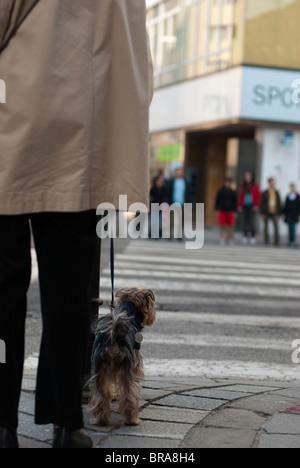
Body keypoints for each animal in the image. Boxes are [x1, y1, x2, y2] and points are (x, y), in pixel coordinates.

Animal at [88, 288, 156, 426]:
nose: (153, 316)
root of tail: (114, 337)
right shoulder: (135, 362)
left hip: (98, 369)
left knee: (99, 394)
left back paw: (101, 420)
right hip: (126, 367)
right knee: (129, 394)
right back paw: (131, 420)